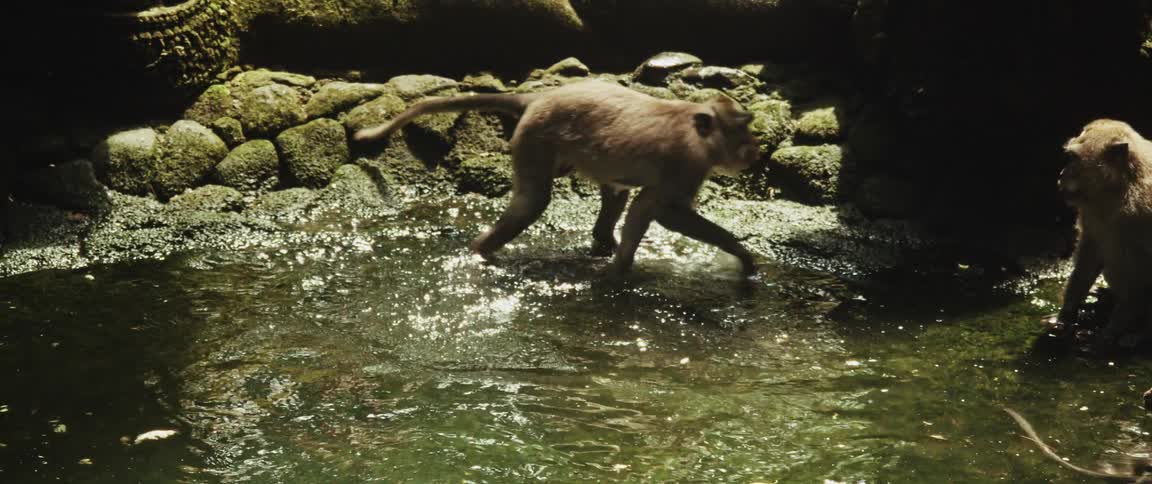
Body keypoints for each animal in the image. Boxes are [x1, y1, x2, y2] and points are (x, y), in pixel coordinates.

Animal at [353, 80, 761, 276]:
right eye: (742, 134)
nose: (754, 151)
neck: (696, 131)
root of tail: (538, 98)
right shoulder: (686, 164)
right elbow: (664, 213)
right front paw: (745, 257)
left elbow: (642, 206)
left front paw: (619, 267)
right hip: (535, 138)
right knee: (532, 202)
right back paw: (481, 252)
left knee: (614, 193)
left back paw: (603, 244)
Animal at [1055, 119, 1152, 347]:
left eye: (1073, 158)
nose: (1062, 174)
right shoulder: (1090, 211)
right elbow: (1090, 254)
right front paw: (1066, 314)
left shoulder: (1138, 215)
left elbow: (1135, 272)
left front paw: (1112, 331)